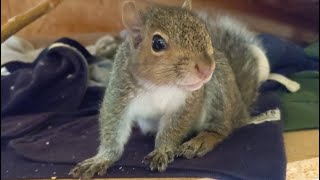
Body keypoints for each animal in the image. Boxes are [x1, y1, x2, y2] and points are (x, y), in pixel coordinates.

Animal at [70, 0, 270, 177]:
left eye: (205, 32)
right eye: (157, 43)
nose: (207, 68)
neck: (160, 85)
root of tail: (241, 108)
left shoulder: (187, 102)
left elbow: (173, 127)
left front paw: (163, 150)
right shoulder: (119, 94)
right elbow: (113, 127)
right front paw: (101, 159)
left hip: (221, 90)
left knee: (221, 128)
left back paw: (201, 140)